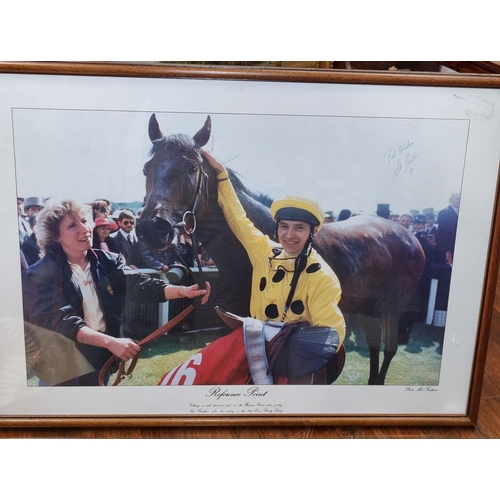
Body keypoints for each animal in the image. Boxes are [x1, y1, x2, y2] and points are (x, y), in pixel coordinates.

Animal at [138, 114, 426, 386]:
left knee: (388, 350)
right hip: (368, 306)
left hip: (392, 306)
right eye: (146, 169)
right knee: (374, 345)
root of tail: (407, 235)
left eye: (191, 166)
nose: (152, 227)